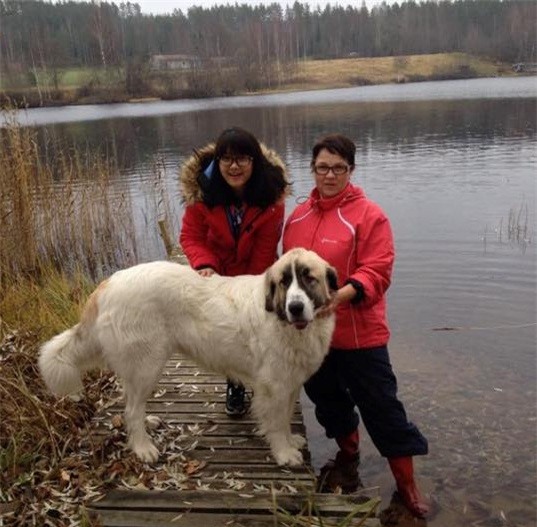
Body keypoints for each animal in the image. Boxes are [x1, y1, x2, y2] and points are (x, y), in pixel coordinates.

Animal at [39, 248, 338, 466]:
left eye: (308, 278)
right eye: (284, 283)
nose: (295, 307)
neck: (283, 321)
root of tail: (109, 282)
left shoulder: (290, 383)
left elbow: (286, 417)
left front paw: (291, 441)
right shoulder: (273, 387)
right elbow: (276, 423)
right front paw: (284, 453)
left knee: (131, 403)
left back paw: (147, 425)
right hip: (148, 364)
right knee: (131, 409)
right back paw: (143, 448)